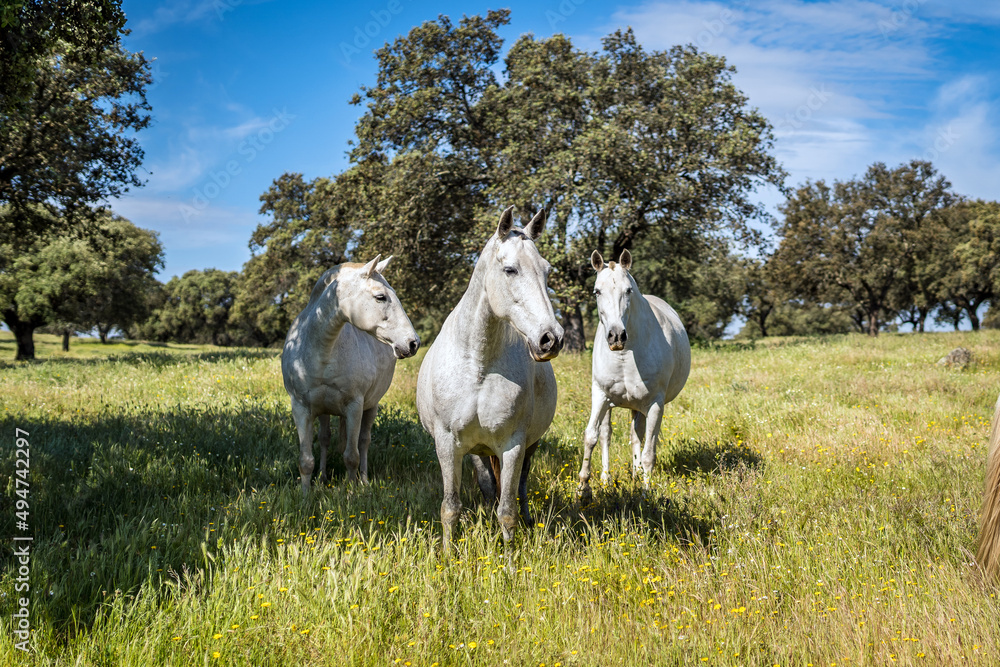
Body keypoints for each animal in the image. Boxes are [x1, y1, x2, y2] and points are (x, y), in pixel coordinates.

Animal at [282, 255, 419, 498]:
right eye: (380, 297)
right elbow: (306, 460)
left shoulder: (355, 406)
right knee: (325, 439)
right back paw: (323, 477)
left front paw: (353, 492)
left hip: (370, 406)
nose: (413, 343)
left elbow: (351, 456)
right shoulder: (300, 407)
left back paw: (363, 480)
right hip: (324, 410)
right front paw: (306, 495)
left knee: (363, 442)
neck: (322, 351)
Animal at [416, 206, 563, 554]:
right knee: (486, 485)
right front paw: (448, 555)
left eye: (547, 271)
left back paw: (527, 521)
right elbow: (451, 506)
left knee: (519, 487)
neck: (478, 366)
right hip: (475, 449)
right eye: (510, 270)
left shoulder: (513, 444)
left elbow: (507, 509)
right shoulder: (447, 443)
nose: (551, 339)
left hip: (528, 445)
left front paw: (510, 557)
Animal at [577, 249, 690, 504]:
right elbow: (591, 436)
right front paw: (583, 489)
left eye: (628, 290)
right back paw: (606, 479)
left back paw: (637, 474)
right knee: (608, 435)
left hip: (642, 406)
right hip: (614, 404)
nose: (616, 336)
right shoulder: (600, 395)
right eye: (597, 291)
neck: (625, 354)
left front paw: (646, 496)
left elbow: (649, 452)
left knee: (639, 435)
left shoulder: (655, 404)